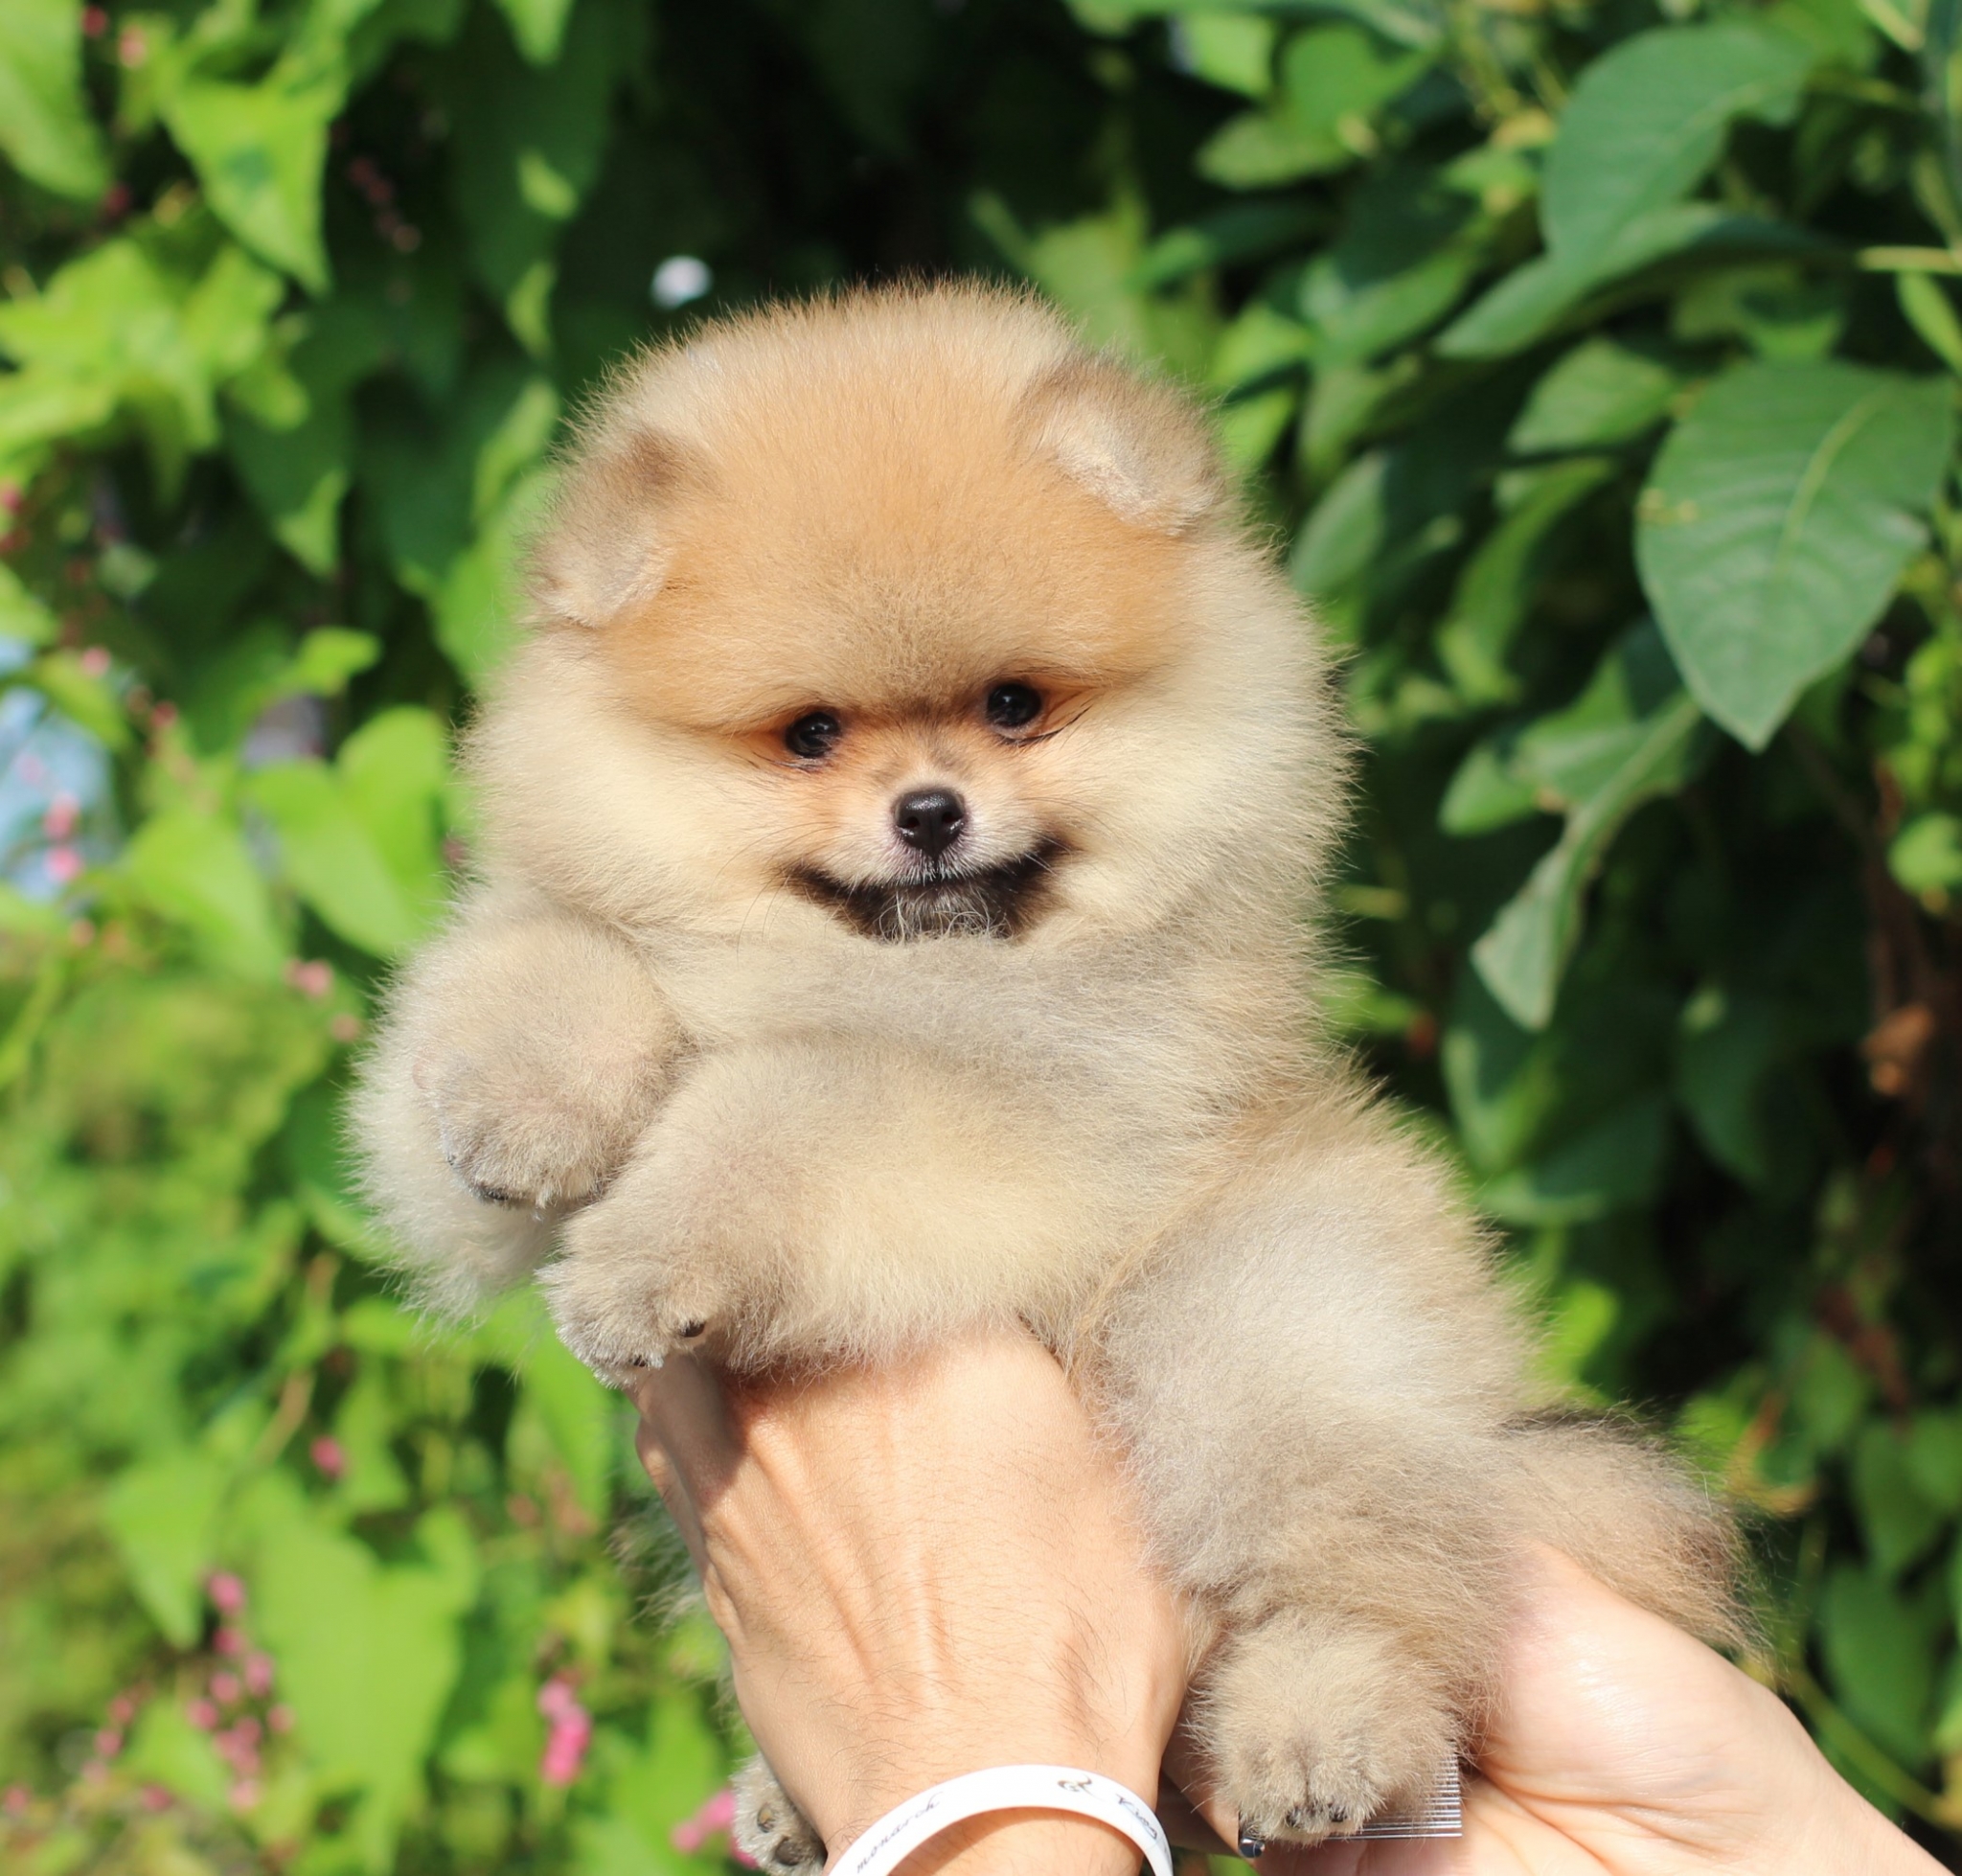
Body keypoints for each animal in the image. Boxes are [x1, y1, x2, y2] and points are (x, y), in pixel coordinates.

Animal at [353, 283, 1739, 1861]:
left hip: (1262, 1315)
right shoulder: (565, 1002)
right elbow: (527, 964)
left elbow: (782, 1110)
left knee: (1380, 1573)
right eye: (810, 732)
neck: (880, 969)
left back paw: (1314, 1727)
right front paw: (521, 1110)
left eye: (1015, 704)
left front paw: (646, 1261)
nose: (930, 810)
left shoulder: (1032, 1110)